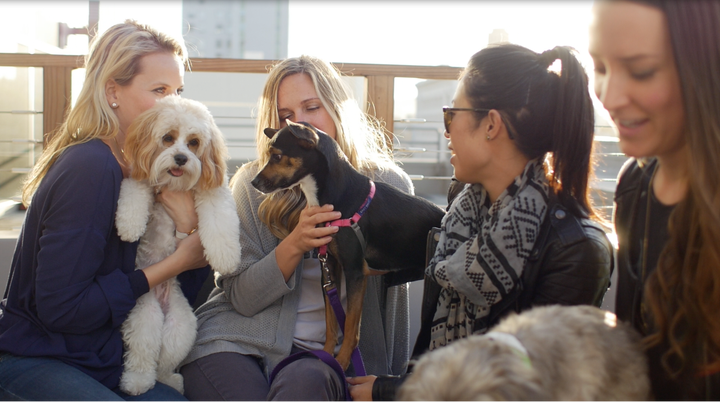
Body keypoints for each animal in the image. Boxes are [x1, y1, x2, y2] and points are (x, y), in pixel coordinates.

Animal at [115, 97, 242, 396]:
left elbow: (220, 220)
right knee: (144, 352)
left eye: (194, 142)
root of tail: (161, 295)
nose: (181, 158)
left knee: (164, 363)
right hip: (143, 315)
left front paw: (226, 257)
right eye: (168, 138)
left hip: (181, 327)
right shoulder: (140, 177)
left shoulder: (213, 191)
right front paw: (129, 225)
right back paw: (137, 381)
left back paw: (171, 381)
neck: (175, 184)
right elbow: (134, 191)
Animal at [252, 120, 444, 370]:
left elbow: (351, 326)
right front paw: (325, 355)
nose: (254, 182)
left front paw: (342, 362)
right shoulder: (330, 268)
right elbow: (331, 322)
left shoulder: (355, 273)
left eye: (276, 156)